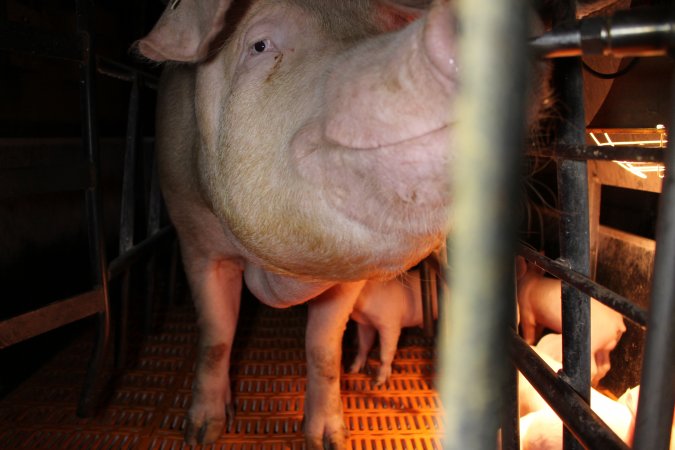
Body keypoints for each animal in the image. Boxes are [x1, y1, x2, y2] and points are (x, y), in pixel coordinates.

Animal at [516, 255, 628, 384]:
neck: (527, 278)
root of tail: (618, 323)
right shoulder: (540, 319)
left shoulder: (526, 312)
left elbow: (529, 333)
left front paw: (528, 343)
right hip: (605, 345)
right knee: (605, 366)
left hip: (594, 340)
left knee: (594, 368)